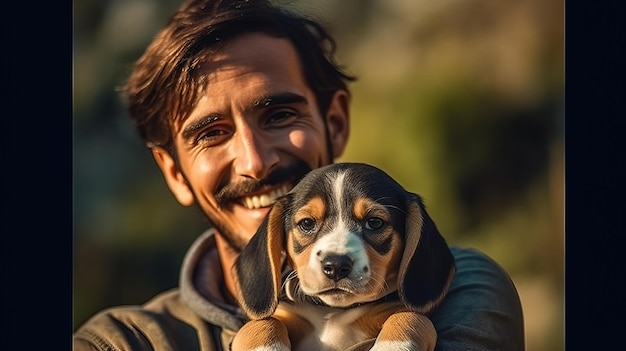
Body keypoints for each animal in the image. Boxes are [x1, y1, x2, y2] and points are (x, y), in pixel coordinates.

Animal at [232, 164, 456, 350]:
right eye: (306, 223)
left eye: (374, 222)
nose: (336, 266)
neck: (333, 312)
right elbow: (262, 323)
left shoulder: (396, 309)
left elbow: (410, 317)